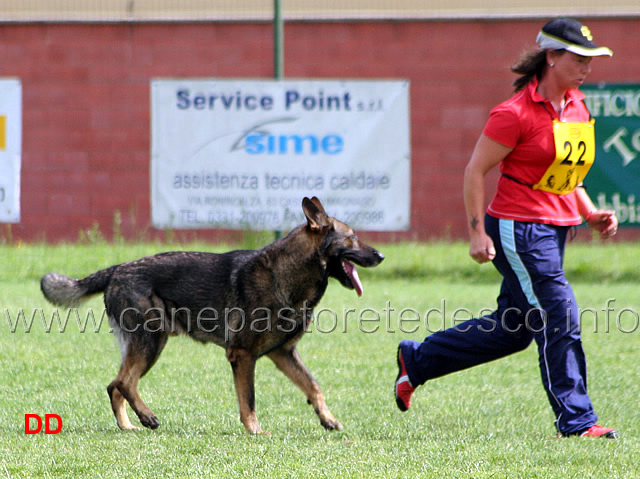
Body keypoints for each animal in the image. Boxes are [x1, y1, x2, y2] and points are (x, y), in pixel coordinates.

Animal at [42, 198, 382, 436]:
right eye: (352, 238)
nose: (381, 255)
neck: (285, 275)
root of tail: (116, 270)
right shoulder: (243, 356)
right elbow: (249, 400)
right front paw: (255, 430)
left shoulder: (283, 354)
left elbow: (313, 387)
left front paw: (328, 419)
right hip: (151, 343)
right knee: (124, 382)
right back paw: (148, 417)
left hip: (145, 345)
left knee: (115, 385)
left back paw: (129, 425)